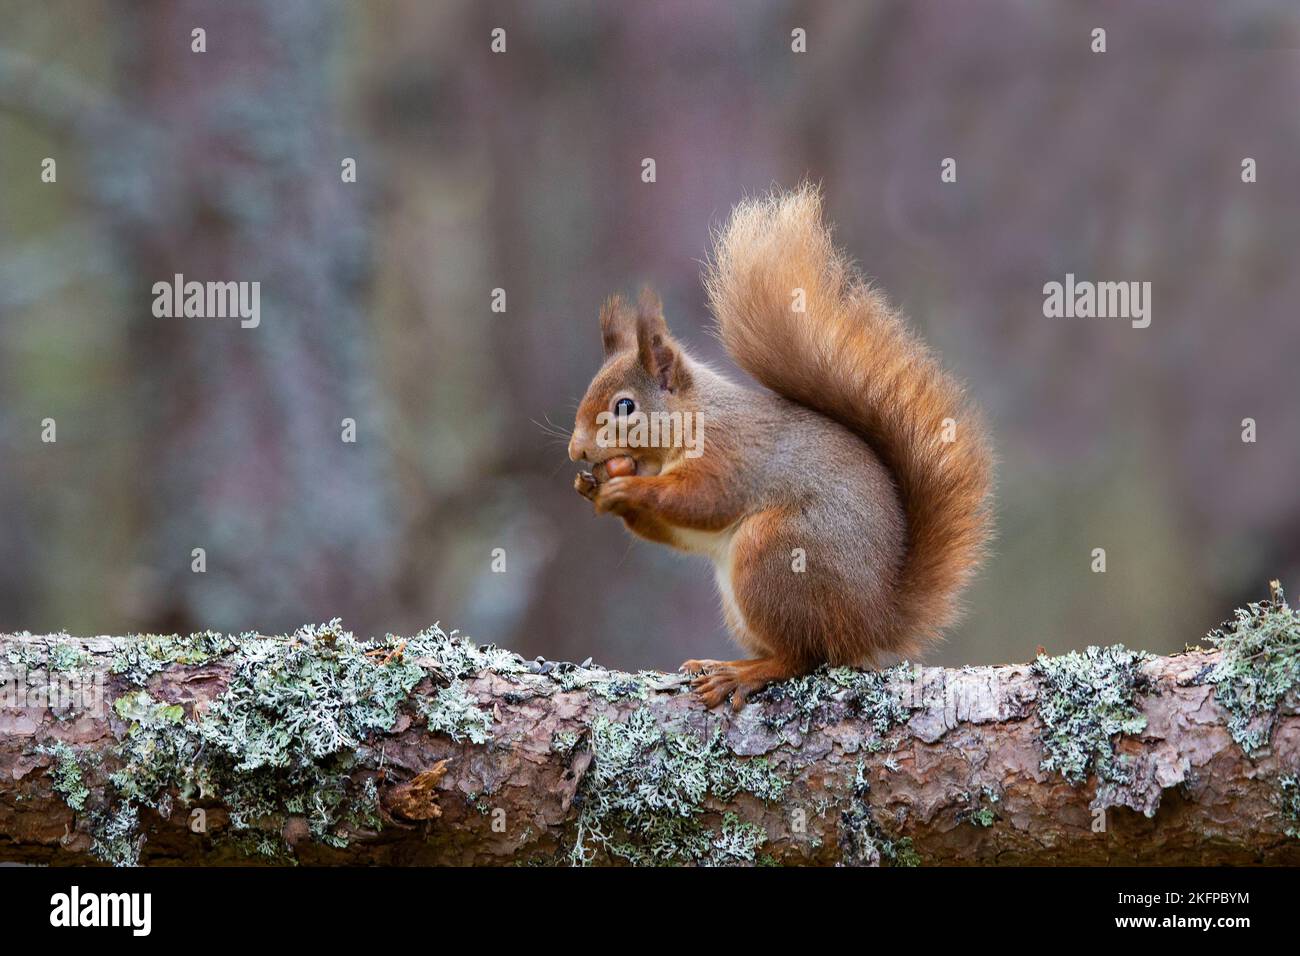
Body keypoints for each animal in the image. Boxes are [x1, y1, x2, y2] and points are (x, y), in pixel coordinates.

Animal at [570, 184, 993, 710]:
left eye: (625, 407)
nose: (575, 451)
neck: (695, 418)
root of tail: (874, 622)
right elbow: (677, 530)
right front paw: (593, 489)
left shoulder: (731, 454)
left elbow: (703, 501)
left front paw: (625, 489)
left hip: (775, 553)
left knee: (803, 657)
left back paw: (743, 674)